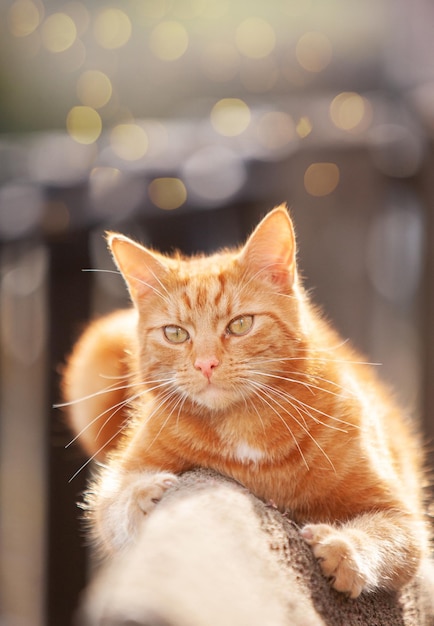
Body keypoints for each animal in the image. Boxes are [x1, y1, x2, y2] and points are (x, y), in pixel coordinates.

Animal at [62, 204, 428, 596]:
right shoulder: (116, 485)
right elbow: (114, 509)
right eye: (175, 334)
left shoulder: (402, 518)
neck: (243, 426)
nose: (206, 363)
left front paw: (343, 551)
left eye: (239, 325)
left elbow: (384, 538)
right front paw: (146, 496)